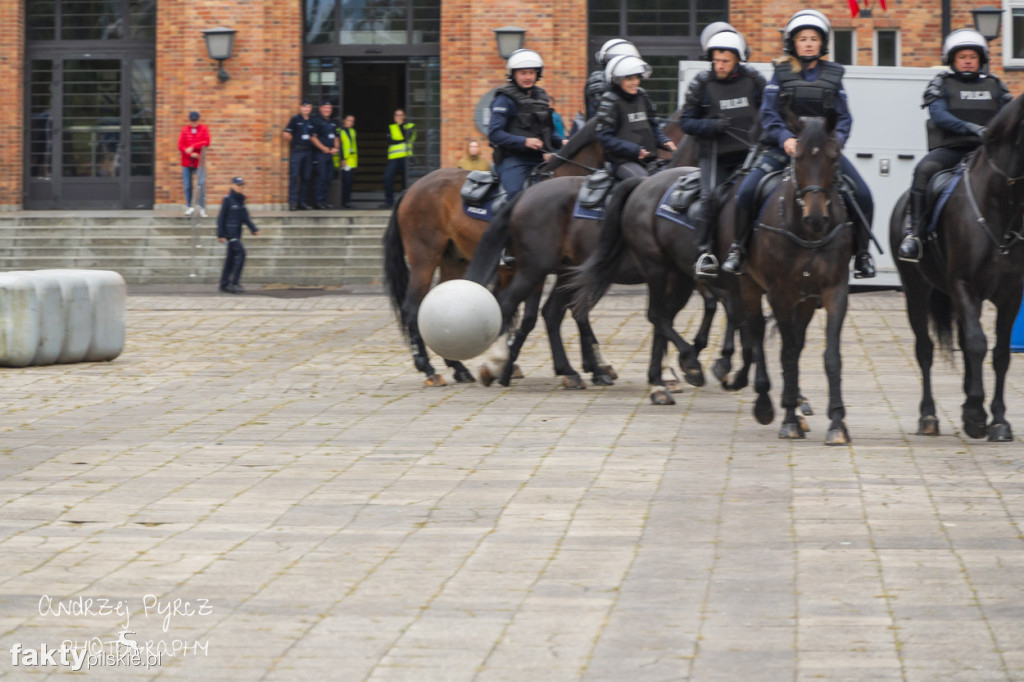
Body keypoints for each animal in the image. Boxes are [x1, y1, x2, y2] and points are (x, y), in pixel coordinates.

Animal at [385, 117, 606, 382]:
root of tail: (411, 188)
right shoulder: (537, 270)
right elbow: (531, 317)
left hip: (453, 262)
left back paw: (458, 367)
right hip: (424, 259)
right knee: (412, 308)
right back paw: (428, 367)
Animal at [884, 90, 1024, 440]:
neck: (1000, 208)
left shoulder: (1011, 294)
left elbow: (1000, 353)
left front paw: (998, 419)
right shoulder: (964, 285)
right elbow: (977, 343)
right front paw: (975, 414)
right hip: (916, 290)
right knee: (925, 348)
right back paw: (928, 416)